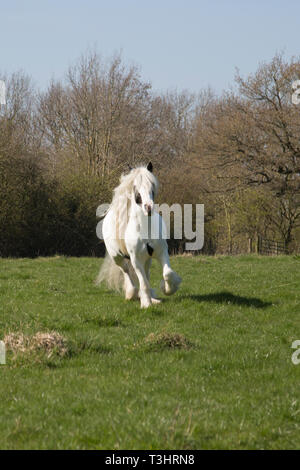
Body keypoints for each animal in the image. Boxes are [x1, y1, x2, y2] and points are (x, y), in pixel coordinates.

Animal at [96, 162, 180, 308]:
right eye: (136, 188)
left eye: (152, 185)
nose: (148, 208)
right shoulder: (136, 260)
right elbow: (143, 282)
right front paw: (146, 304)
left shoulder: (161, 253)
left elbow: (167, 273)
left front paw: (167, 289)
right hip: (117, 257)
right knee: (126, 271)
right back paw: (132, 294)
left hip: (147, 259)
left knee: (146, 274)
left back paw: (152, 298)